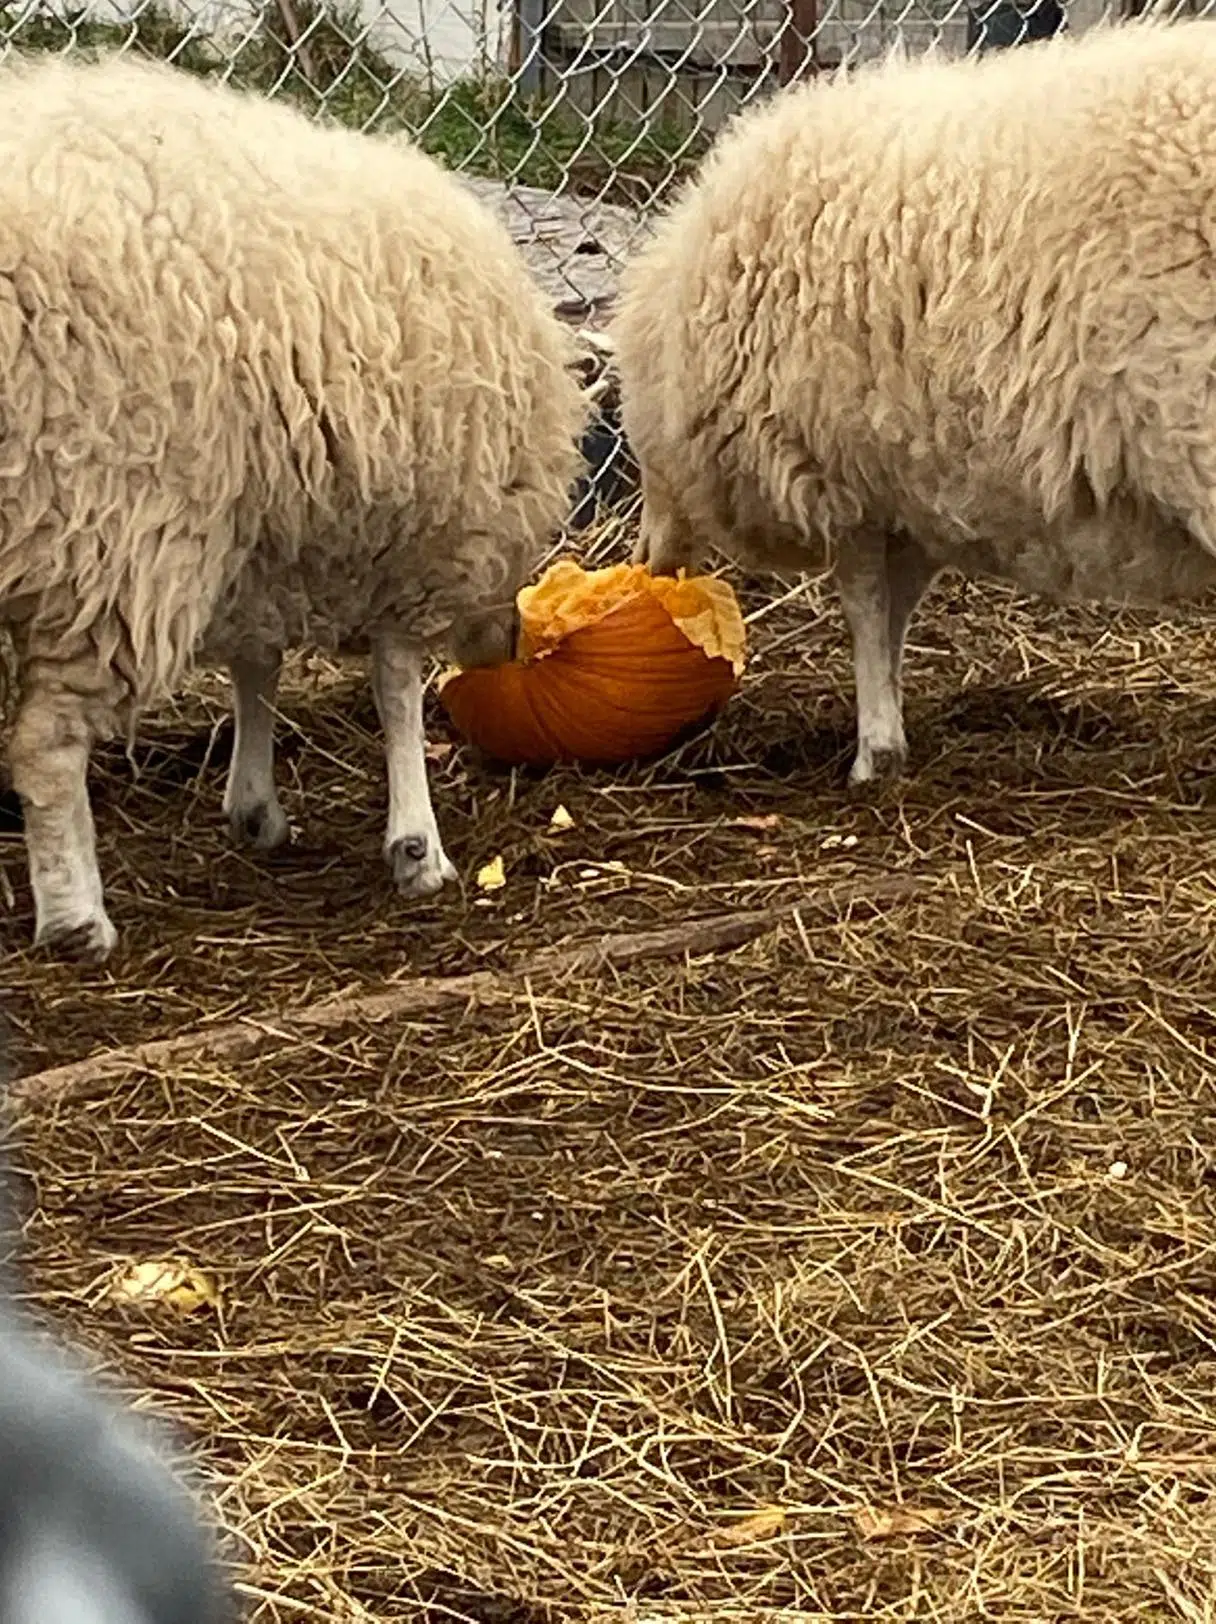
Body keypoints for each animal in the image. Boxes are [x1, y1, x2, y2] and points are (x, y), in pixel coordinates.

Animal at [0, 53, 587, 961]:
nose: (511, 640)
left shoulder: (261, 534)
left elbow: (258, 664)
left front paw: (254, 804)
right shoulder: (420, 541)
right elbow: (395, 685)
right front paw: (416, 845)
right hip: (103, 528)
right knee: (46, 744)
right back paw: (75, 916)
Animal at [616, 15, 1216, 789]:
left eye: (635, 457)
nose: (643, 563)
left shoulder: (841, 472)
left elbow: (866, 610)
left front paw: (872, 753)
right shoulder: (911, 489)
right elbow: (896, 611)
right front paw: (890, 735)